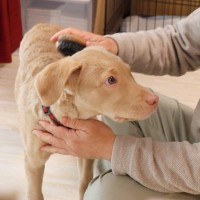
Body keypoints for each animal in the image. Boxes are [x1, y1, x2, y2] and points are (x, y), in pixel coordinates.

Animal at [14, 23, 159, 200]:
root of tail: (42, 23)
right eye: (111, 80)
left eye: (129, 71)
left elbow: (85, 181)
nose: (155, 100)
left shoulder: (86, 152)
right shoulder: (33, 162)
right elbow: (35, 193)